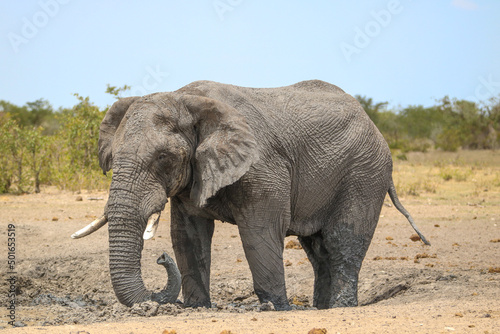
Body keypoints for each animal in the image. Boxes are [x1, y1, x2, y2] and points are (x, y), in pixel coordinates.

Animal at [71, 80, 430, 310]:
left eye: (163, 157)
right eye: (113, 158)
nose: (159, 258)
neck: (188, 99)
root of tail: (372, 124)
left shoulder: (262, 166)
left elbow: (260, 231)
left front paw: (277, 308)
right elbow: (187, 234)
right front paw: (198, 308)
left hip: (365, 171)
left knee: (342, 242)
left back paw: (341, 309)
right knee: (317, 249)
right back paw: (321, 309)